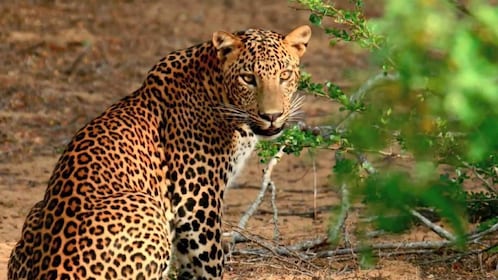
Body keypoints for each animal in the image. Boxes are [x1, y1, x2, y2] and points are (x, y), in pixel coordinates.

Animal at [6, 25, 312, 278]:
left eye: (284, 75)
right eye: (248, 78)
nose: (271, 116)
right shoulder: (196, 199)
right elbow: (208, 262)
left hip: (35, 210)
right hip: (148, 210)